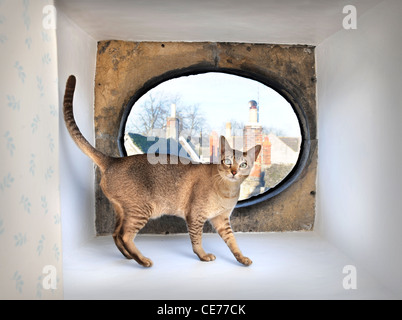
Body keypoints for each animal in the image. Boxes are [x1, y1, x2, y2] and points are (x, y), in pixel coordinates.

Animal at [63, 75, 260, 268]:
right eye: (227, 162)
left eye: (243, 164)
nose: (233, 172)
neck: (228, 190)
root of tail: (114, 160)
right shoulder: (195, 216)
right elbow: (197, 240)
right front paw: (203, 256)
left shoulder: (222, 220)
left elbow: (233, 242)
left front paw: (242, 258)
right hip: (141, 209)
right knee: (125, 235)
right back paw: (142, 261)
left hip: (122, 210)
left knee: (116, 234)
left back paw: (129, 256)